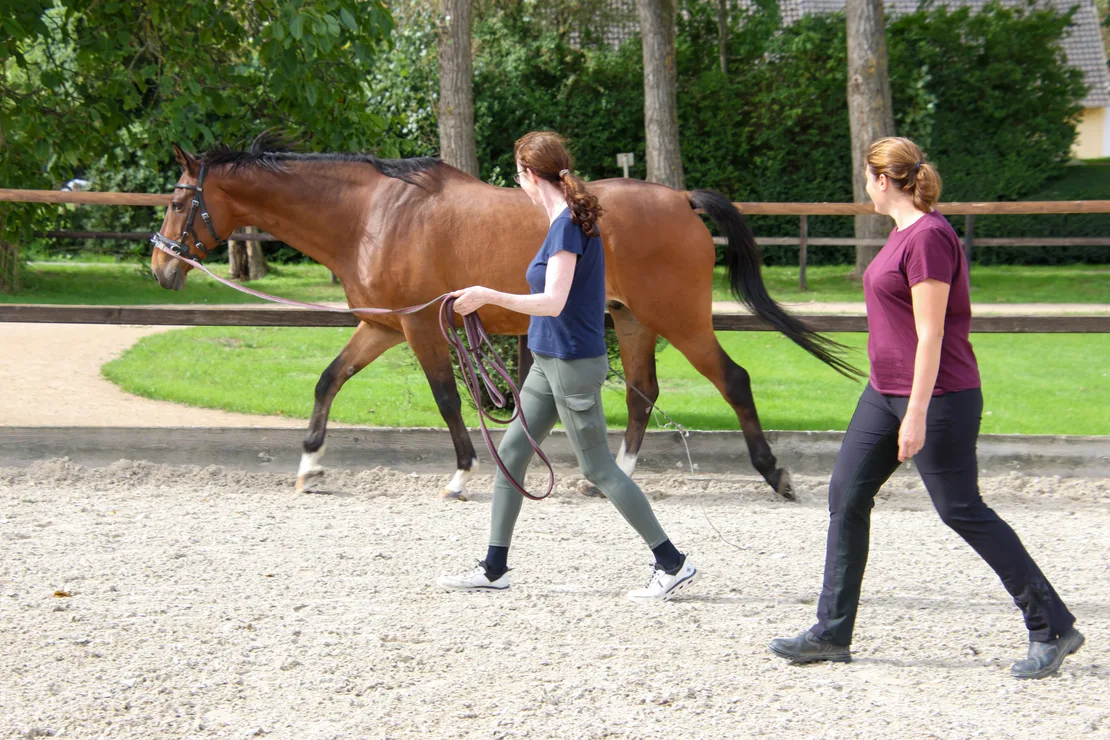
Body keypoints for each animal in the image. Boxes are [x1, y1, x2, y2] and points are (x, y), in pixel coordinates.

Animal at [150, 132, 859, 500]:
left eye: (180, 200)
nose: (160, 267)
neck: (373, 214)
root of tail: (681, 199)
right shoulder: (382, 325)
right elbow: (329, 380)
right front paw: (308, 466)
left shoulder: (418, 326)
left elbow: (445, 399)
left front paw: (461, 475)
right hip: (632, 321)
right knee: (642, 394)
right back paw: (611, 480)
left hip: (680, 320)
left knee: (732, 381)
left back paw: (776, 475)